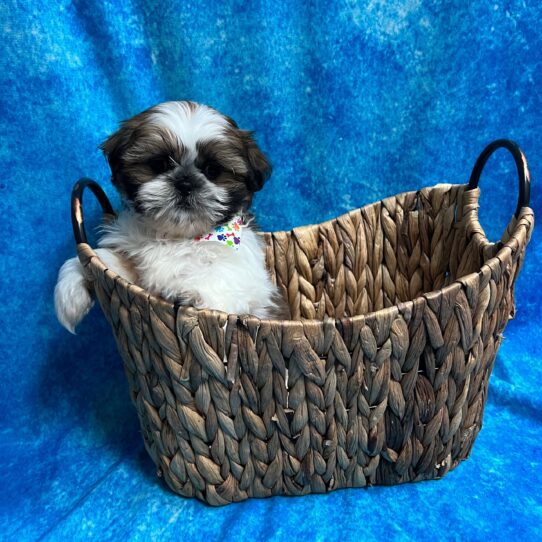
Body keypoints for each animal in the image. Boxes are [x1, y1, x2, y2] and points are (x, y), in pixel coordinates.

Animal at [55, 100, 292, 334]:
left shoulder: (246, 279)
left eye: (212, 170)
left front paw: (187, 291)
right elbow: (98, 257)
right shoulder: (132, 275)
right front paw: (69, 294)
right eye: (159, 164)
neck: (177, 237)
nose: (185, 183)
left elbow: (218, 280)